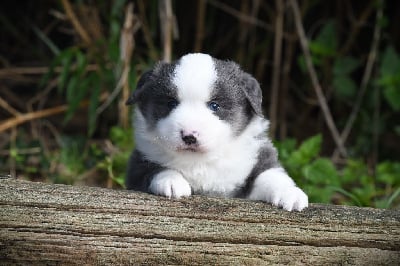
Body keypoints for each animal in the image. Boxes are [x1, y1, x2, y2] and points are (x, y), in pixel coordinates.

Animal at [126, 53, 308, 212]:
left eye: (214, 106)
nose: (189, 136)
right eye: (171, 103)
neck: (201, 161)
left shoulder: (254, 159)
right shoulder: (138, 164)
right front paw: (172, 181)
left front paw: (290, 194)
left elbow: (269, 174)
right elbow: (153, 169)